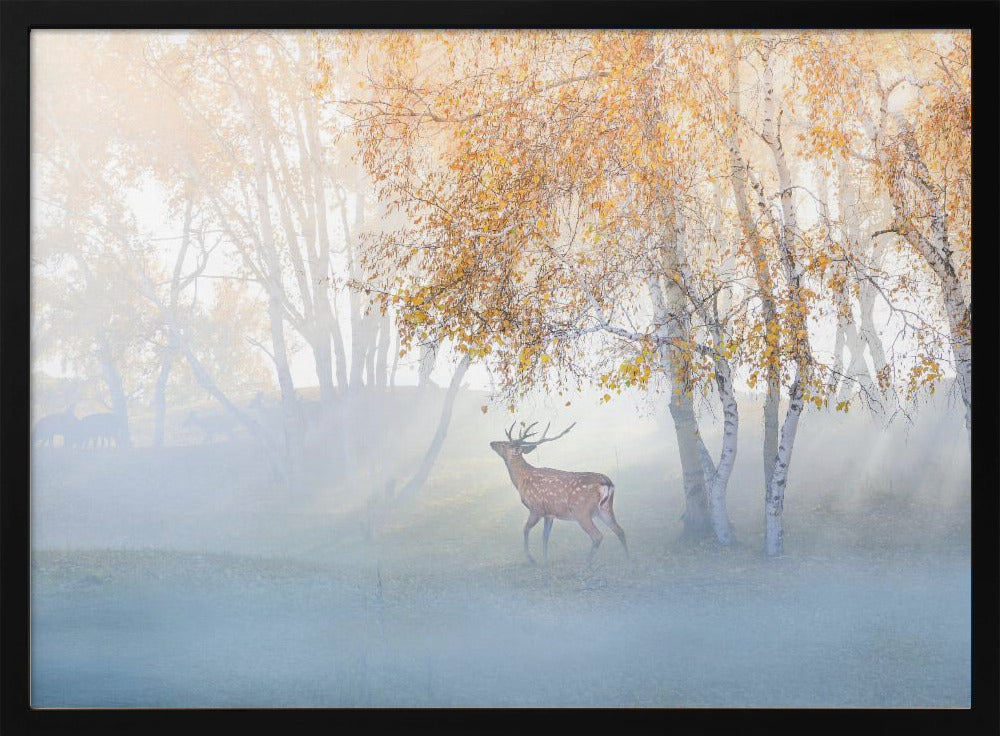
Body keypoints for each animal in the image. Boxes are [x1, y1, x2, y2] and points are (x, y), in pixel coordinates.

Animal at [490, 421, 627, 566]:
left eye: (504, 444)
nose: (491, 442)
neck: (521, 480)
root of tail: (607, 483)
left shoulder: (535, 508)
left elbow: (525, 530)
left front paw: (531, 559)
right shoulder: (549, 514)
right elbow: (545, 537)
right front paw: (545, 560)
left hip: (581, 511)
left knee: (597, 536)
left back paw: (587, 563)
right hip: (605, 508)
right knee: (620, 530)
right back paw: (628, 559)